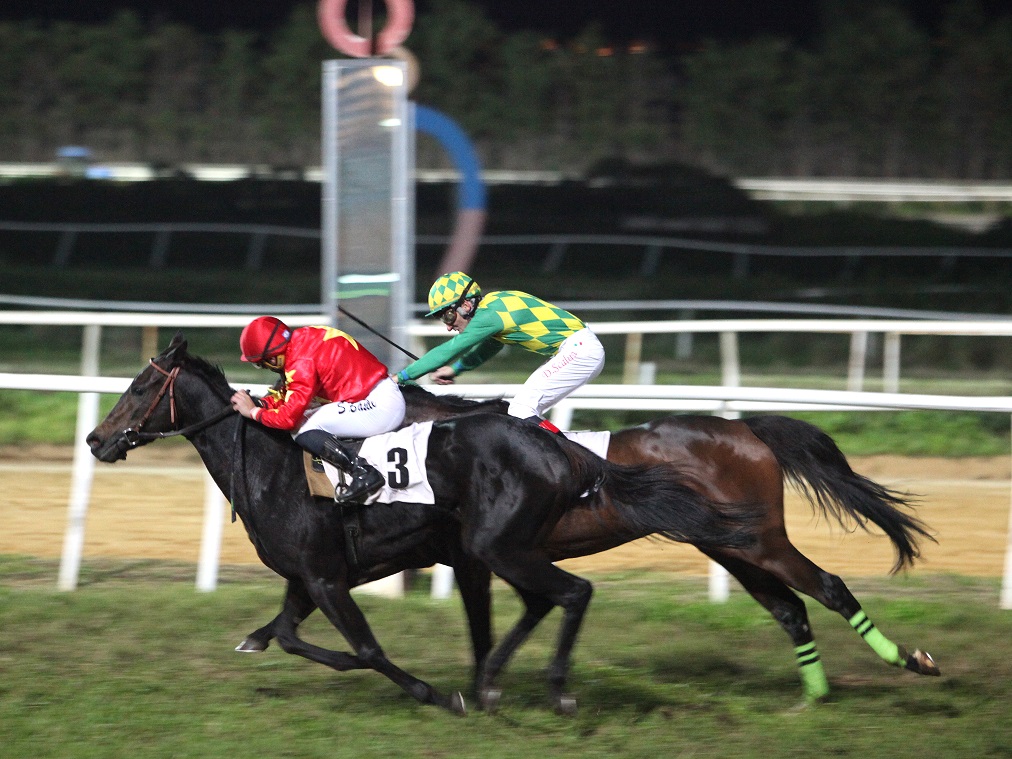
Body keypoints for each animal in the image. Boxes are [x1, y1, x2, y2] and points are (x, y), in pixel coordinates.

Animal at [86, 333, 757, 714]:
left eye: (141, 386)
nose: (95, 440)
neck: (272, 468)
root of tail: (557, 447)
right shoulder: (308, 579)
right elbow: (288, 635)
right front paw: (255, 639)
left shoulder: (327, 579)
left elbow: (364, 649)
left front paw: (437, 693)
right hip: (500, 549)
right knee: (547, 600)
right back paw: (504, 684)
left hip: (495, 544)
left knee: (573, 592)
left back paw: (550, 690)